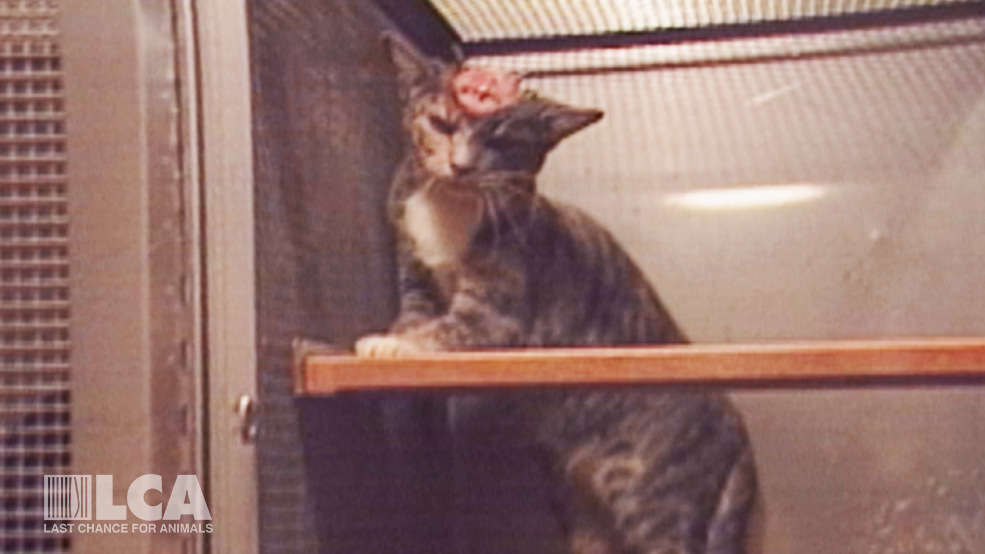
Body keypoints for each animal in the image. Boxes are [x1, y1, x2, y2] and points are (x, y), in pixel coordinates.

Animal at [356, 34, 760, 552]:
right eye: (442, 124)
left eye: (501, 142)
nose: (460, 166)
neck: (452, 206)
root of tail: (735, 425)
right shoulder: (415, 277)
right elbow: (414, 314)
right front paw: (394, 337)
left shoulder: (497, 311)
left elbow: (450, 327)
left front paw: (395, 344)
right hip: (580, 504)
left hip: (655, 499)